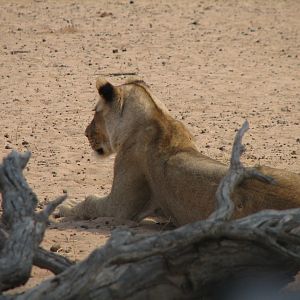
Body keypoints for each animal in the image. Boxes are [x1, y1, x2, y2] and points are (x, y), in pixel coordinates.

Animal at [58, 78, 300, 226]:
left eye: (94, 112)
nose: (85, 133)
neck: (158, 117)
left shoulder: (120, 207)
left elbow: (90, 202)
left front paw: (64, 206)